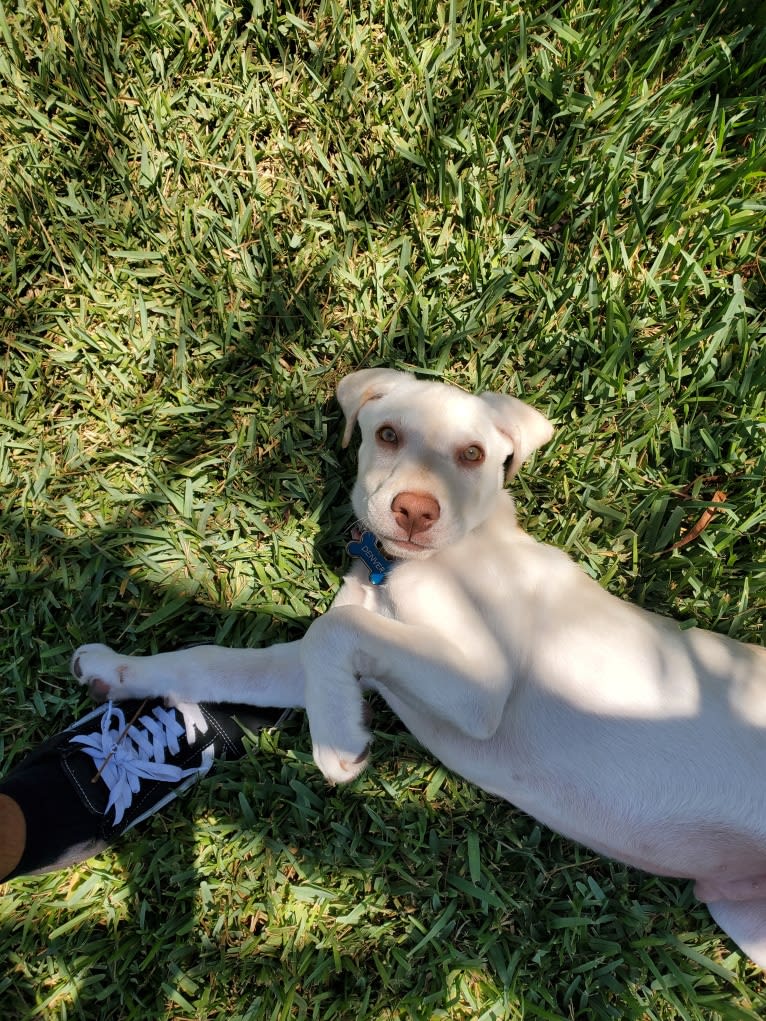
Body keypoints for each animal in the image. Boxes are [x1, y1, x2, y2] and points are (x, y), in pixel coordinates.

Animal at [73, 367, 766, 963]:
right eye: (387, 435)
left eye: (473, 456)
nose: (414, 511)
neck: (405, 569)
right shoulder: (325, 664)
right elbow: (217, 659)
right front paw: (120, 670)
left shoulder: (481, 685)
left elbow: (334, 628)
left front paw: (337, 742)